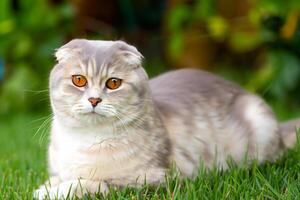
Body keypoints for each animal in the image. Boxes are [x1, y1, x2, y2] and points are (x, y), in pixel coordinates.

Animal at [34, 39, 298, 200]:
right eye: (79, 80)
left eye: (113, 83)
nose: (94, 100)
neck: (85, 141)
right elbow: (56, 178)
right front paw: (46, 187)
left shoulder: (150, 181)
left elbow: (90, 183)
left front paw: (50, 193)